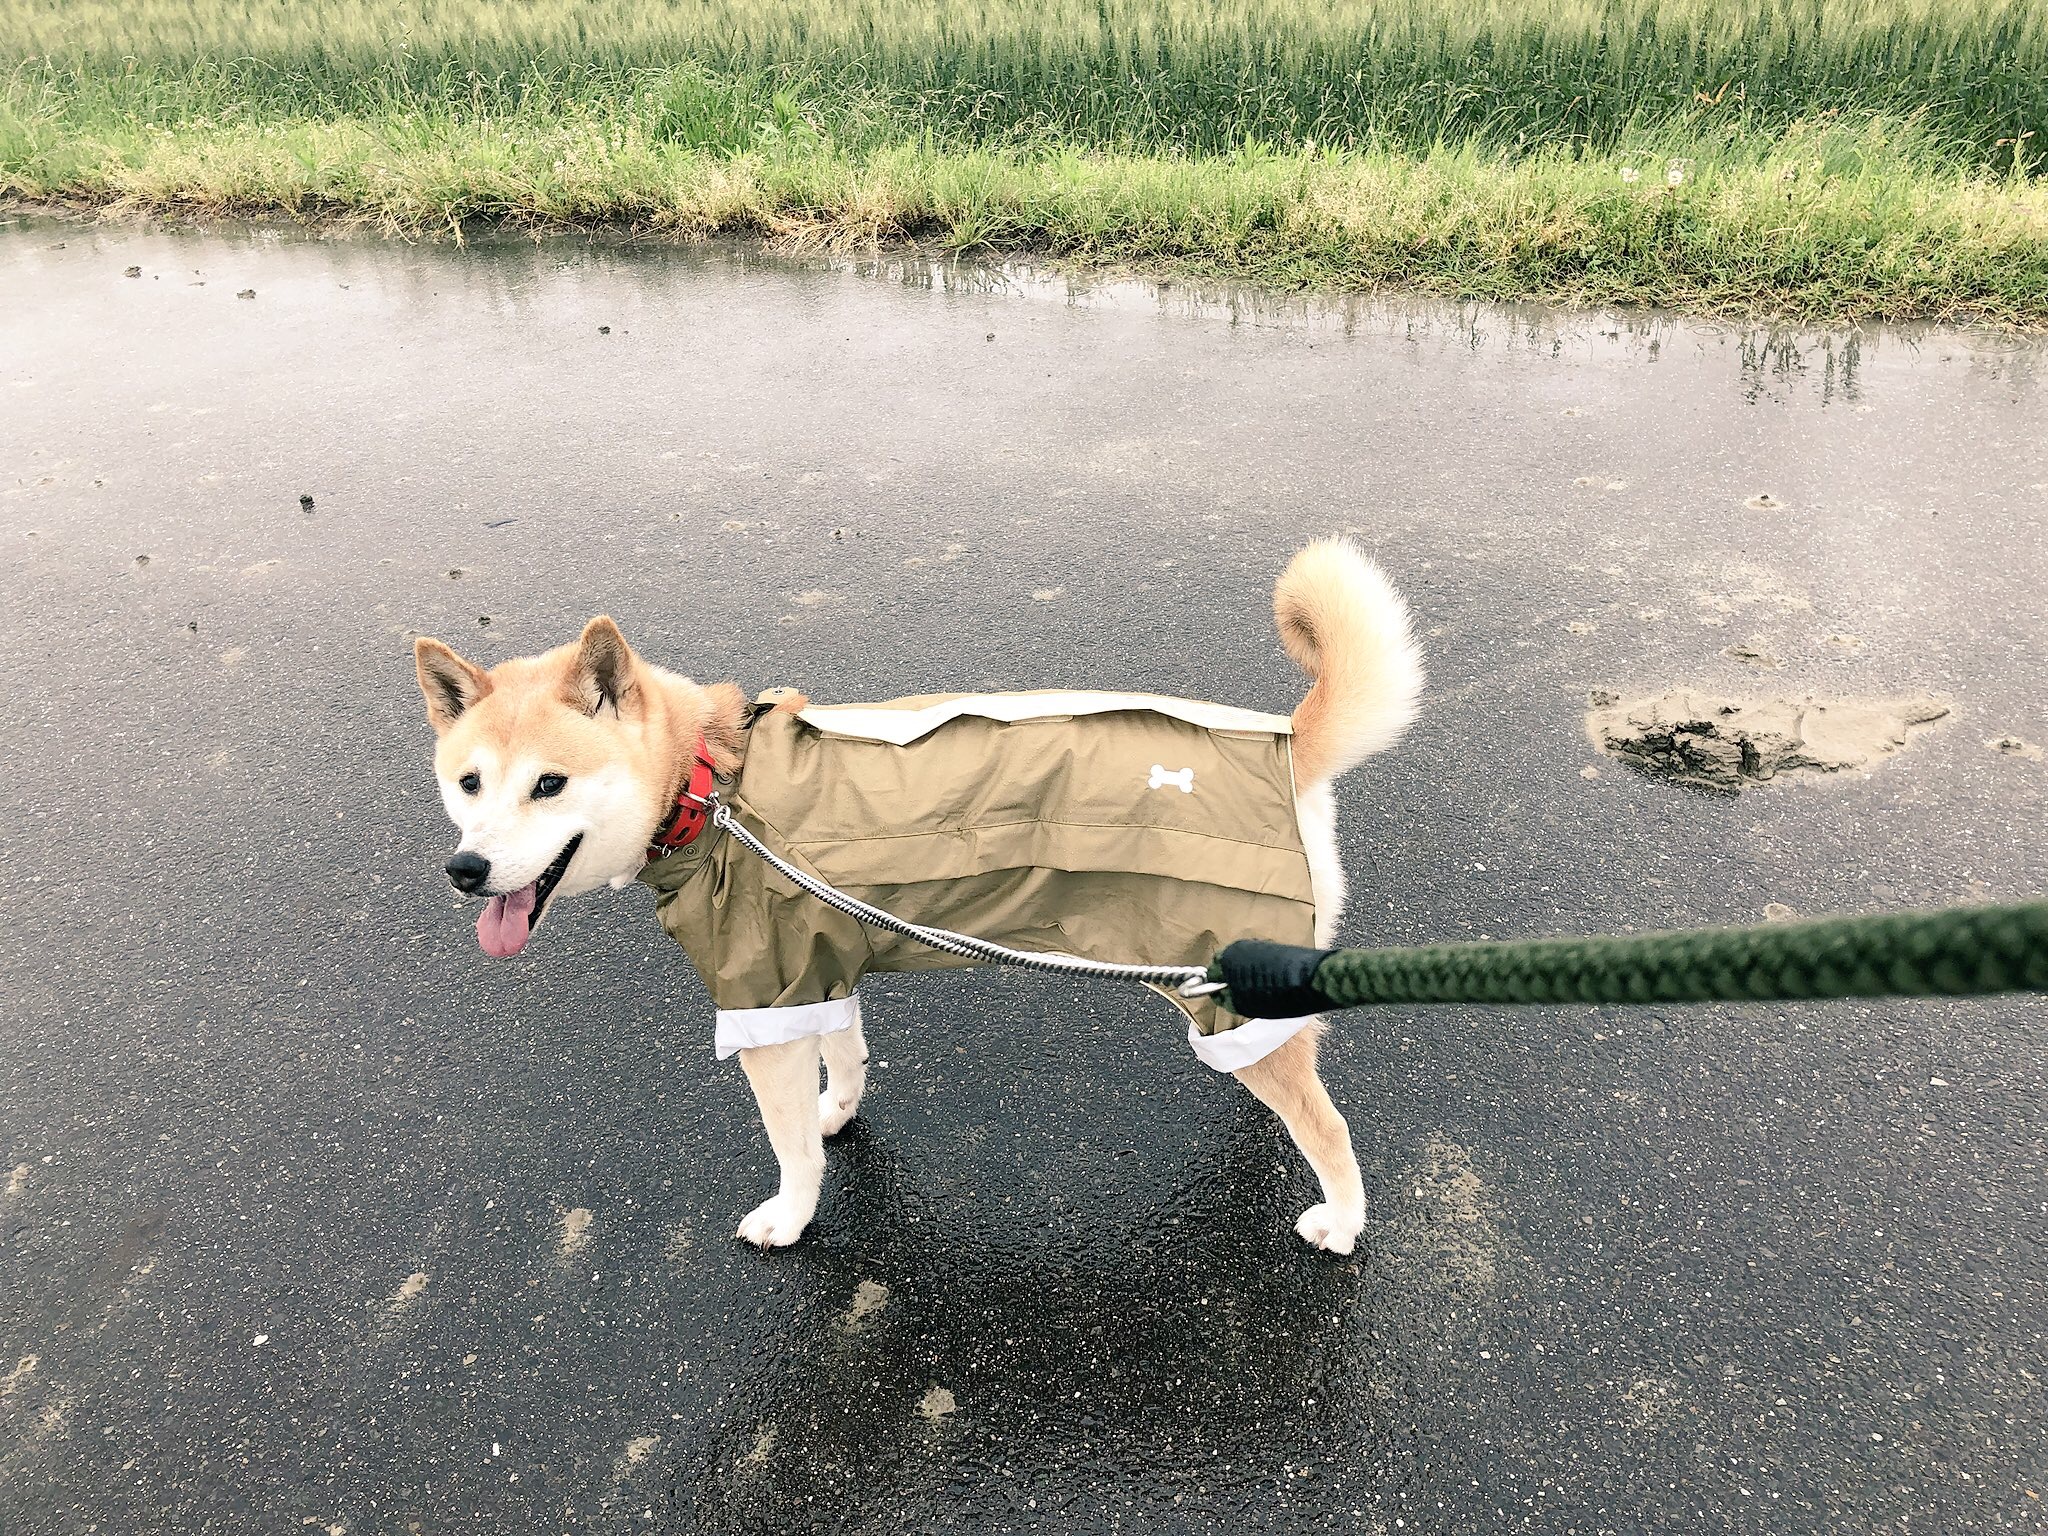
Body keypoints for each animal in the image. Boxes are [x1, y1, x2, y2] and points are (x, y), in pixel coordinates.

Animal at [415, 536, 1425, 1253]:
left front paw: (791, 1216)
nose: (467, 871)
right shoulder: (812, 968)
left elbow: (788, 1146)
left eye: (549, 785)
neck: (709, 787)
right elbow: (845, 1060)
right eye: (469, 784)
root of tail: (1289, 743)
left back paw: (1341, 1223)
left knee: (1328, 1126)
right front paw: (840, 1113)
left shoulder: (760, 1002)